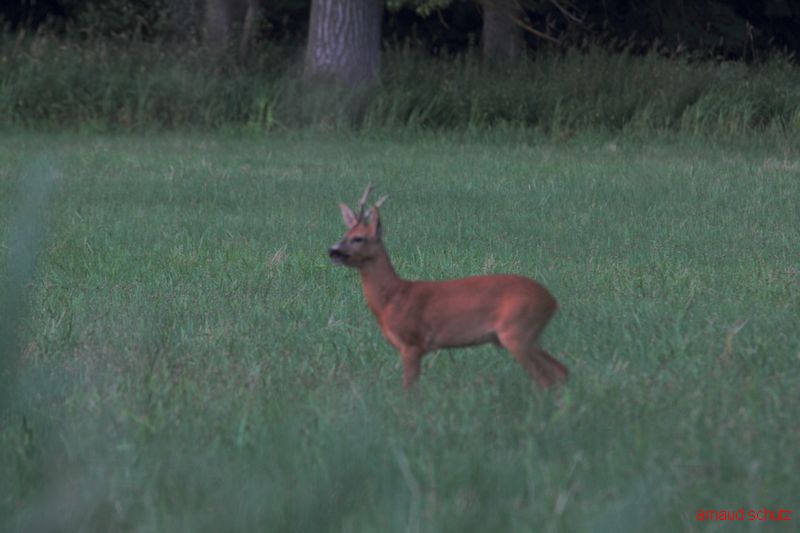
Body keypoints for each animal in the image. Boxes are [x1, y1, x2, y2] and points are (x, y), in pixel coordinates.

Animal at [326, 185, 568, 388]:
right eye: (344, 234)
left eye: (359, 238)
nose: (333, 250)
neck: (393, 297)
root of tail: (552, 301)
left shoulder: (412, 343)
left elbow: (409, 388)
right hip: (528, 335)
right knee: (561, 370)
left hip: (517, 331)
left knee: (547, 377)